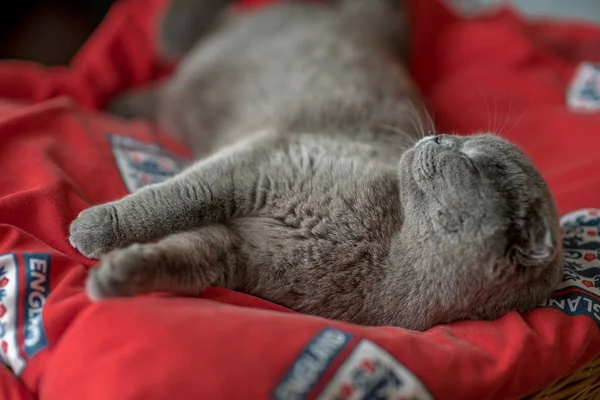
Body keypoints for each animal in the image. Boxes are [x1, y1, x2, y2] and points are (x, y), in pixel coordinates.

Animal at [68, 0, 564, 332]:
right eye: (462, 140)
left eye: (469, 161)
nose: (439, 137)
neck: (386, 256)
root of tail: (358, 23)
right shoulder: (259, 164)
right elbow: (170, 200)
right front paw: (92, 230)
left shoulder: (237, 254)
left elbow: (183, 257)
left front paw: (116, 275)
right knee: (178, 46)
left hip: (186, 98)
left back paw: (118, 103)